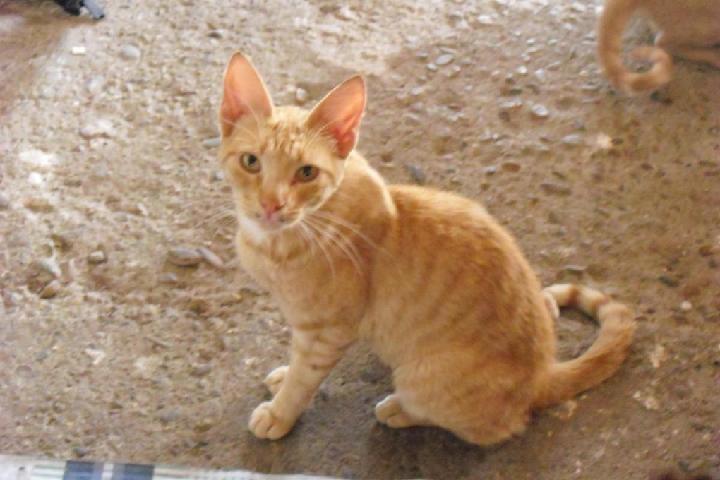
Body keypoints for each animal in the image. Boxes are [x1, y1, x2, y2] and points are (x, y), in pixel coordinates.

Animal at [218, 52, 636, 445]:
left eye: (306, 173)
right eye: (251, 162)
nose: (271, 205)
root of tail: (541, 373)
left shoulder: (326, 332)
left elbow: (304, 378)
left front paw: (280, 411)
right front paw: (283, 378)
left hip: (422, 379)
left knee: (496, 426)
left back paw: (400, 410)